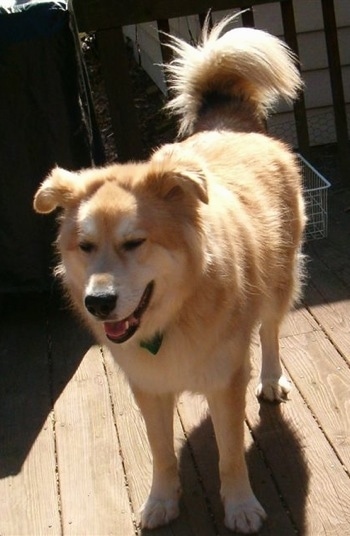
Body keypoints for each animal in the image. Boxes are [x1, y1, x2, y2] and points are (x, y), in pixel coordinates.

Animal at [34, 14, 304, 532]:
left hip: (280, 285)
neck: (174, 314)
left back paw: (270, 379)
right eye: (86, 247)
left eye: (134, 243)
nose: (98, 303)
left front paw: (240, 505)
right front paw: (161, 501)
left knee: (270, 332)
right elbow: (161, 454)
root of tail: (228, 124)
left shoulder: (225, 382)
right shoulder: (149, 389)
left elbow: (230, 457)